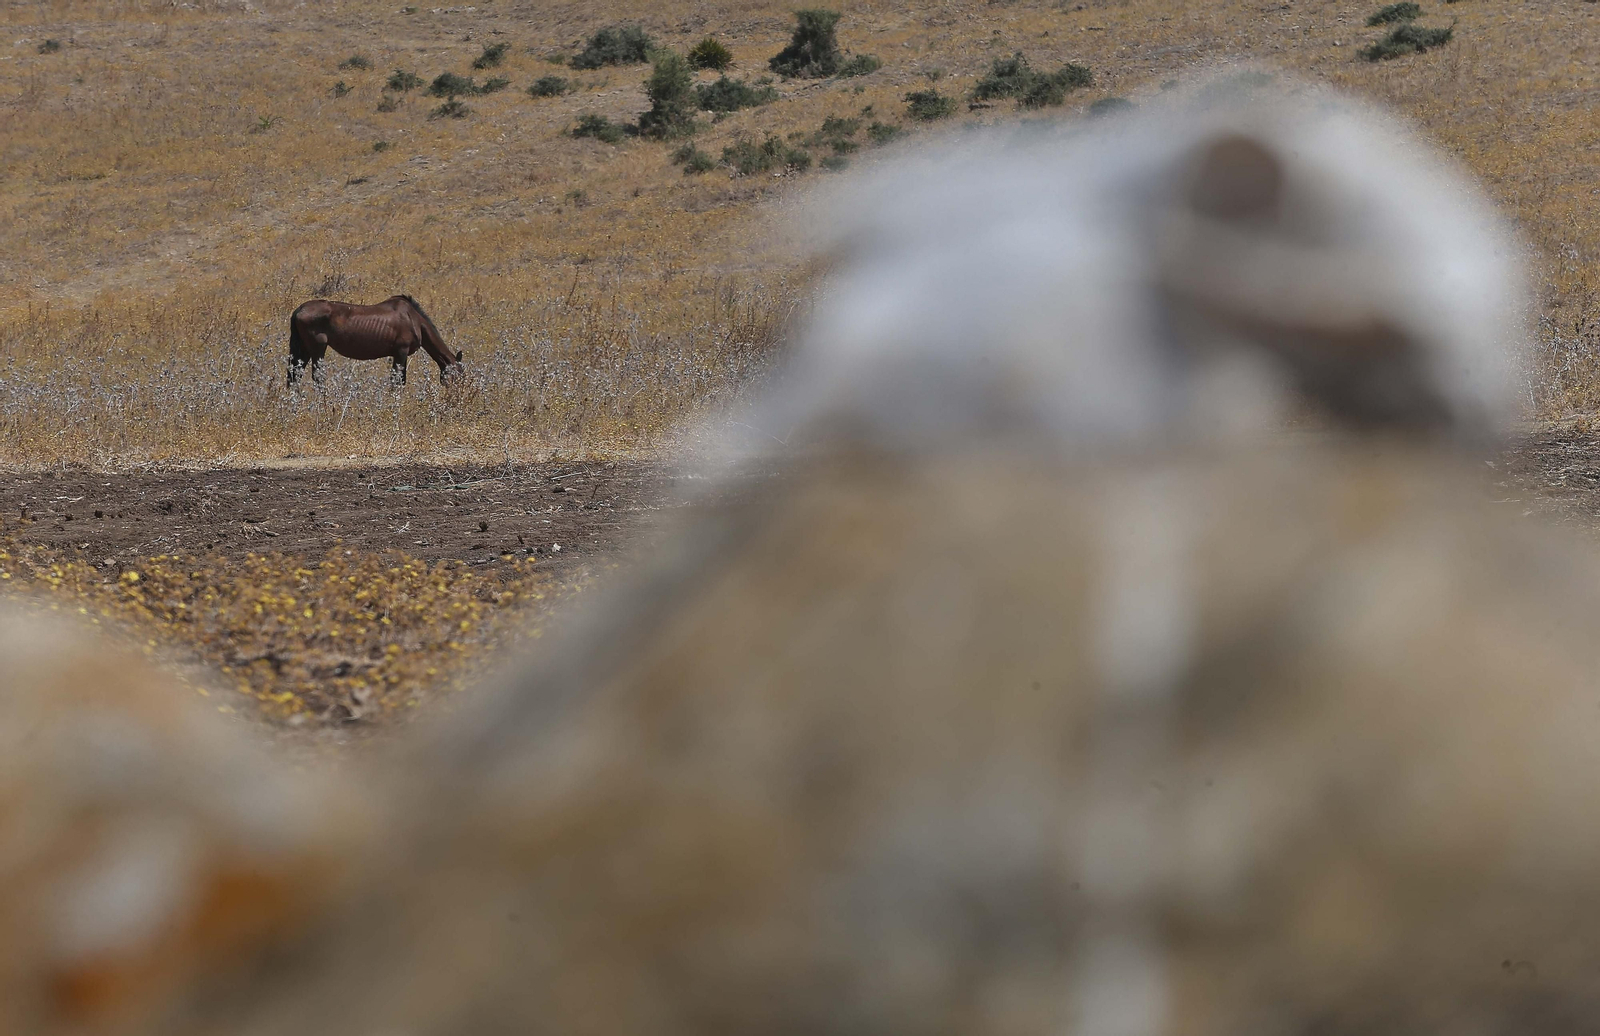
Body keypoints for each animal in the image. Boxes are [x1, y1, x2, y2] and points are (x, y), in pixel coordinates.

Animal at [286, 295, 464, 386]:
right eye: (459, 375)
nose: (456, 399)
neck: (413, 319)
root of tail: (299, 309)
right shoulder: (401, 352)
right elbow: (398, 381)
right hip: (317, 348)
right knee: (317, 377)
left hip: (305, 349)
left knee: (295, 375)